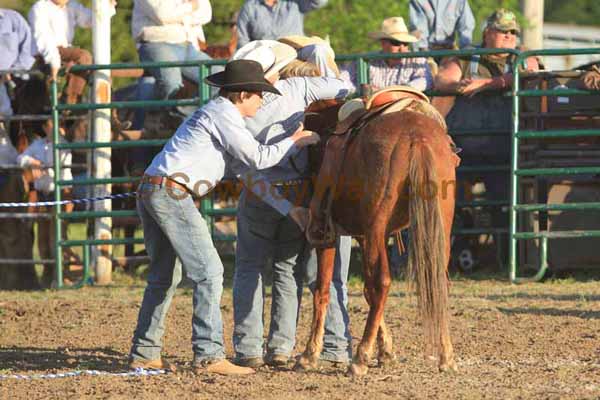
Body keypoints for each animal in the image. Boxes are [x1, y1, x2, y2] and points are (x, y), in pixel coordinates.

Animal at [296, 100, 460, 376]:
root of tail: (417, 136)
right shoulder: (368, 236)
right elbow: (366, 291)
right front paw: (386, 351)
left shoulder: (330, 236)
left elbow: (323, 291)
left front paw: (309, 354)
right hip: (438, 229)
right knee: (437, 282)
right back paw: (446, 356)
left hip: (374, 226)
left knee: (382, 282)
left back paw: (360, 358)